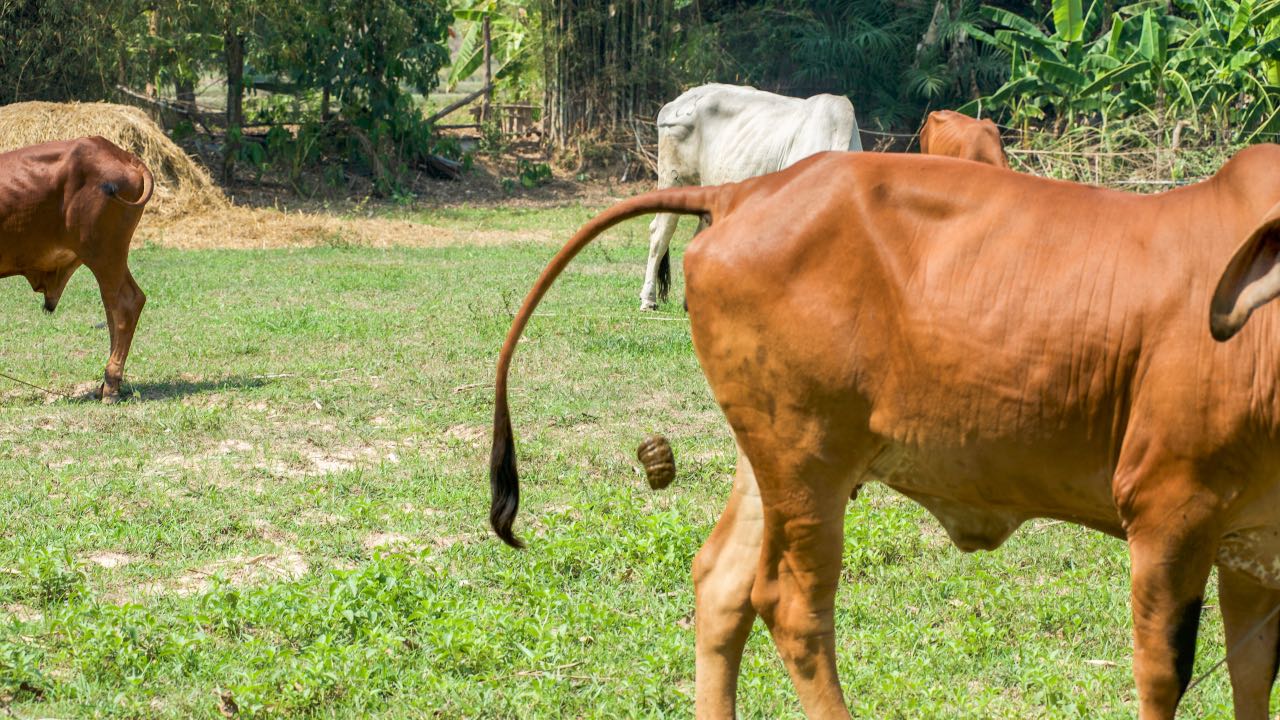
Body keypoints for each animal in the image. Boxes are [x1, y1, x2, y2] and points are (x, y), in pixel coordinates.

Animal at [0, 137, 152, 399]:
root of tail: (121, 154)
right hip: (106, 258)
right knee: (113, 307)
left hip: (103, 253)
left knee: (126, 303)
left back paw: (111, 384)